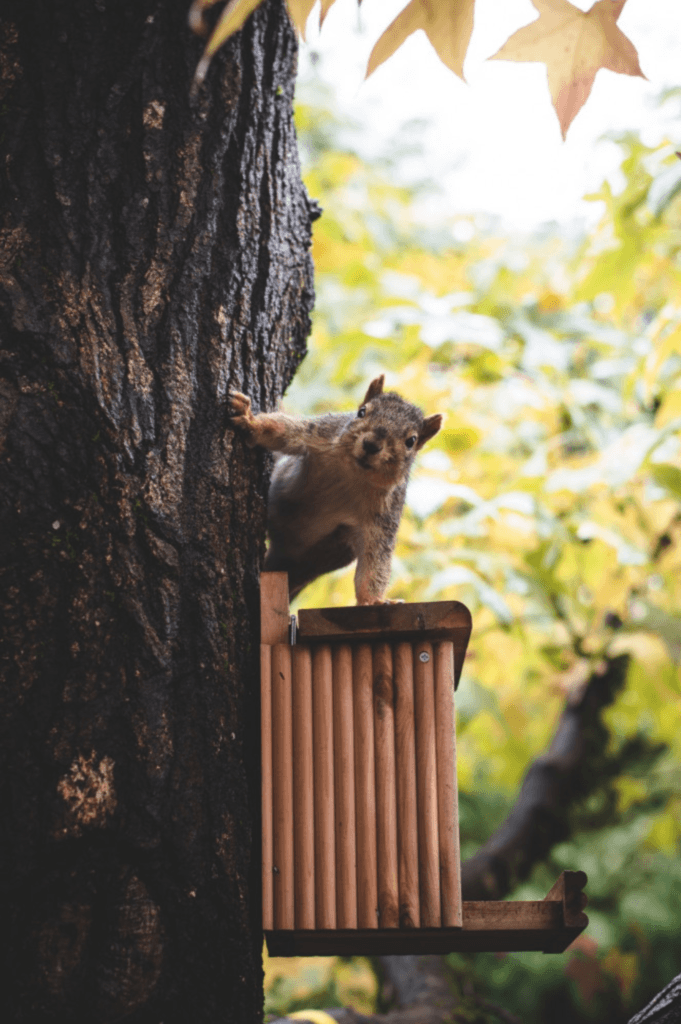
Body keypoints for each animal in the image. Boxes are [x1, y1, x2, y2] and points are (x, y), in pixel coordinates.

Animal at [228, 374, 440, 598]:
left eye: (411, 441)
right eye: (361, 412)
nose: (371, 445)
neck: (353, 474)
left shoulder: (385, 517)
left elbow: (375, 561)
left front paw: (373, 601)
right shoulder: (319, 433)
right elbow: (281, 431)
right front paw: (249, 419)